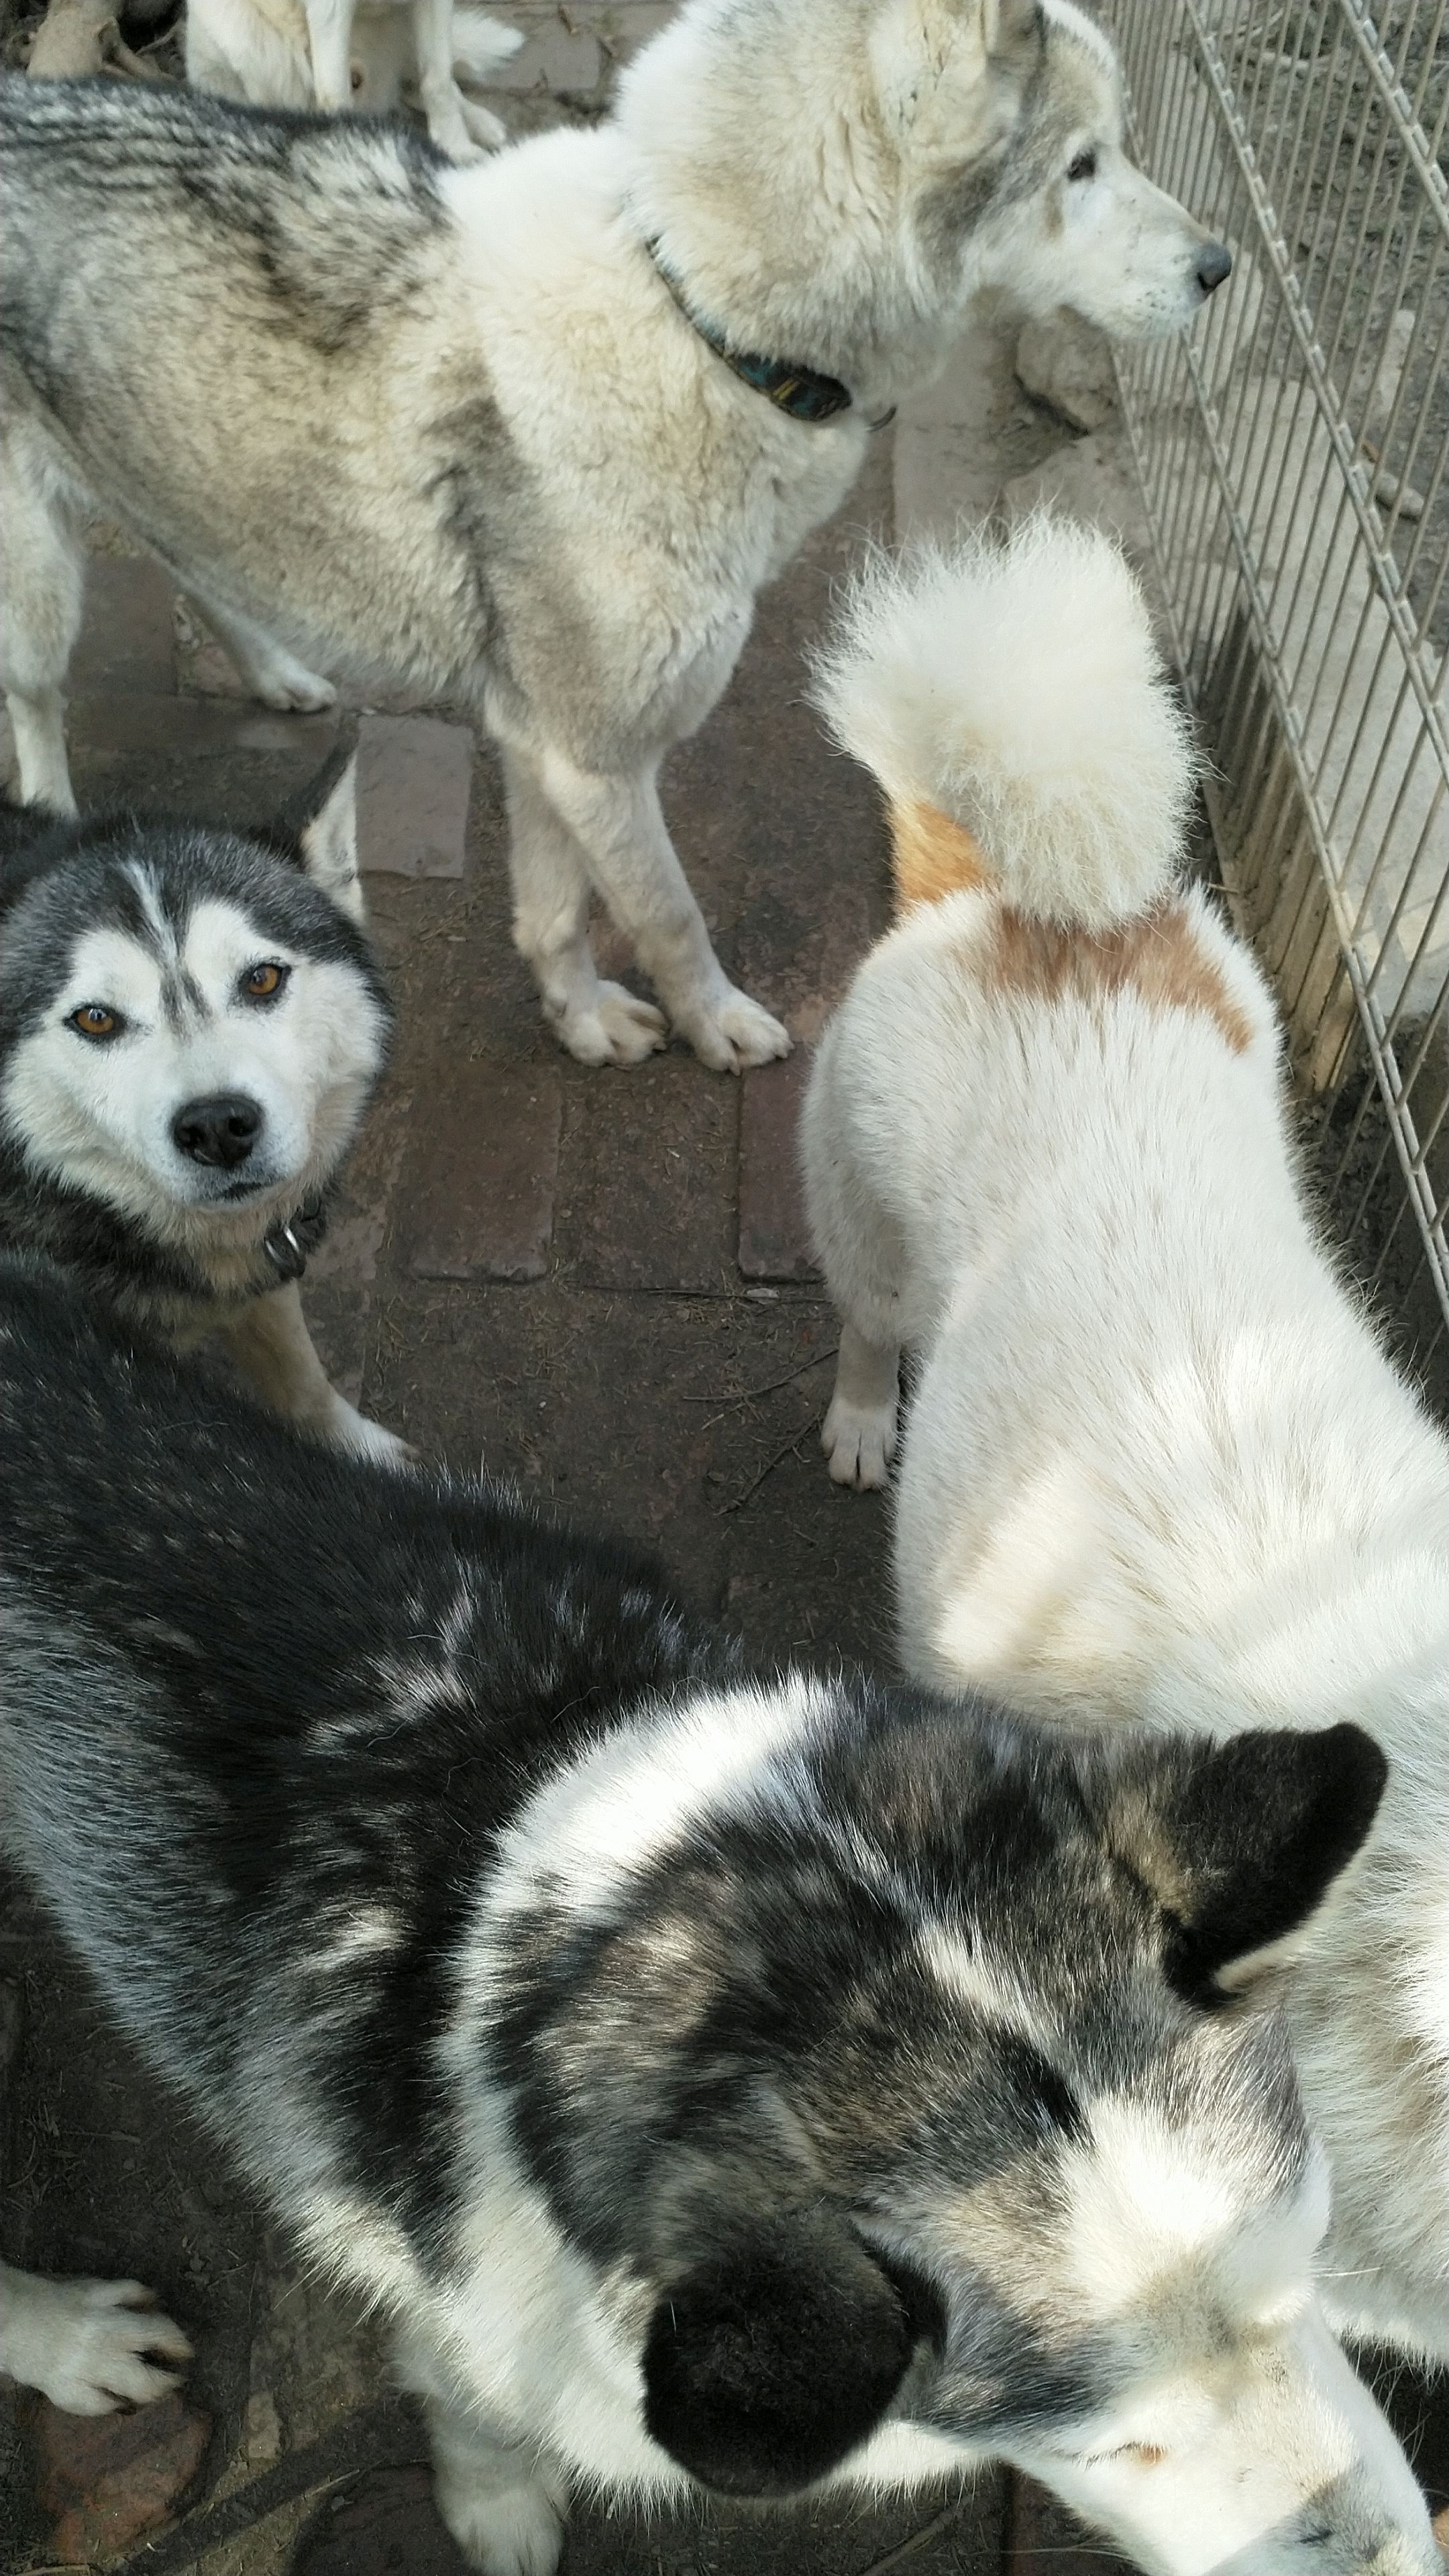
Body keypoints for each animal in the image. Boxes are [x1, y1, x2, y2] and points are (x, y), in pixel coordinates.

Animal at [0, 743, 404, 1459]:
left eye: (262, 979)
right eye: (96, 1018)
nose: (217, 1126)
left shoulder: (265, 1264)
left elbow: (301, 1377)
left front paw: (364, 1454)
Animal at [0, 1257, 1439, 2573]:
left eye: (1310, 2276)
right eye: (1112, 2446)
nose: (1407, 2565)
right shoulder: (466, 2320)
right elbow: (479, 2416)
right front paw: (497, 2504)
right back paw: (66, 2340)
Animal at [184, 0, 523, 161]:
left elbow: (438, 80)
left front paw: (456, 148)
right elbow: (335, 95)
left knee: (423, 83)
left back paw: (482, 122)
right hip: (245, 41)